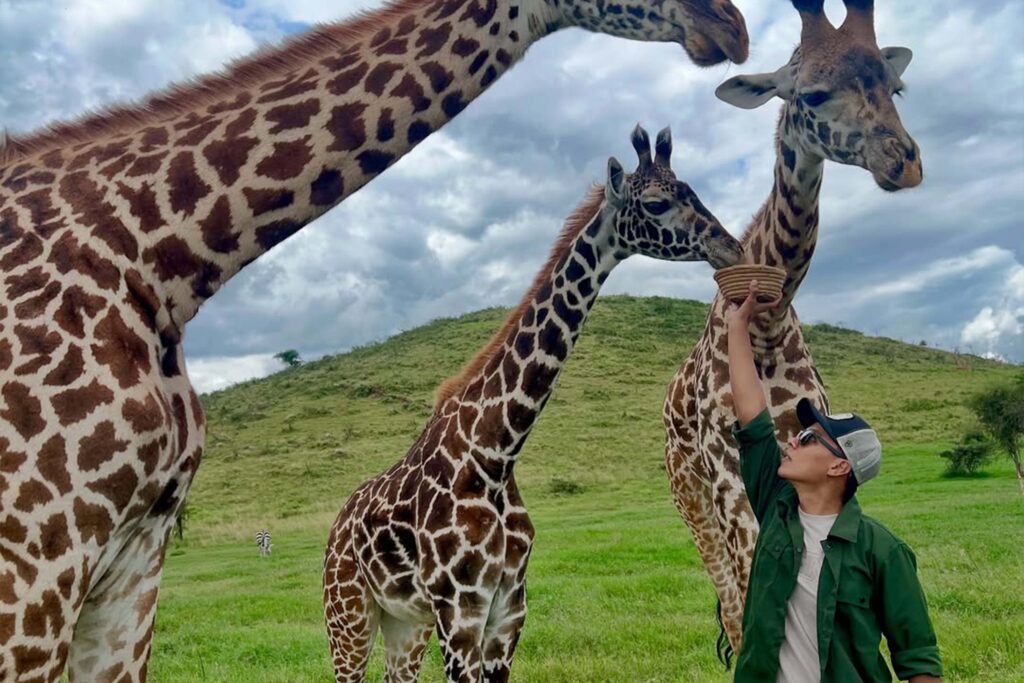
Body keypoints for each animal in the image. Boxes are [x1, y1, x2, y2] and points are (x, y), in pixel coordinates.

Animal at [323, 125, 743, 683]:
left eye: (692, 190)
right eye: (656, 203)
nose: (731, 247)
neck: (496, 452)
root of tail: (334, 527)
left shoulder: (508, 610)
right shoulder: (459, 611)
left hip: (404, 624)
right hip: (347, 615)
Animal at [661, 0, 923, 656]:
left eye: (895, 85)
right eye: (813, 92)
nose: (905, 163)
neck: (767, 325)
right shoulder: (727, 469)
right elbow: (751, 584)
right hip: (688, 493)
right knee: (728, 597)